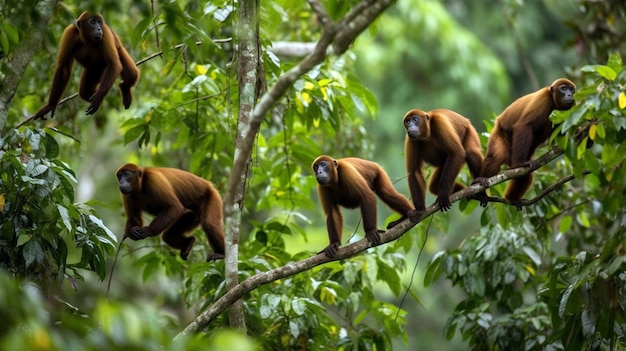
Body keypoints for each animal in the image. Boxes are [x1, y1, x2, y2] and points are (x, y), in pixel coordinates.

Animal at [472, 77, 576, 209]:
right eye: (563, 88)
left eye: (571, 89)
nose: (569, 94)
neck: (553, 101)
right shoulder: (542, 99)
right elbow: (523, 125)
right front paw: (519, 164)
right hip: (498, 133)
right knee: (496, 157)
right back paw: (482, 186)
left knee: (525, 174)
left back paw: (511, 198)